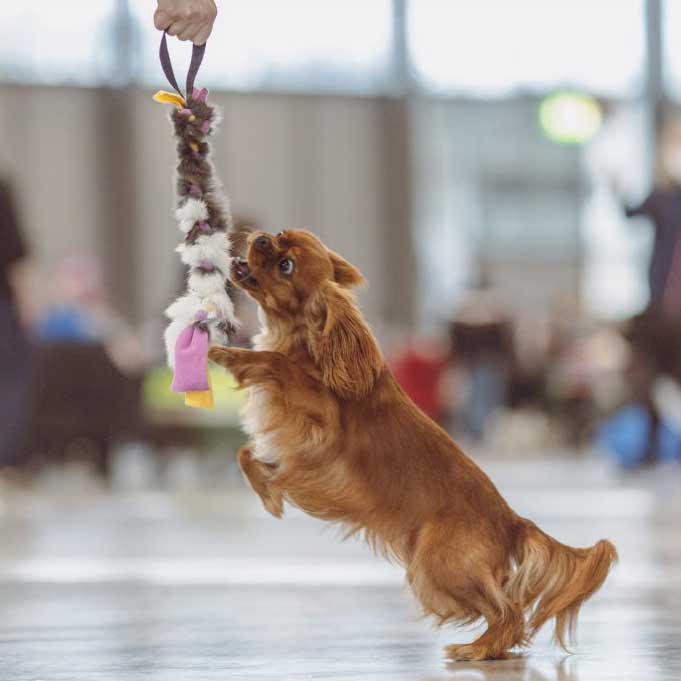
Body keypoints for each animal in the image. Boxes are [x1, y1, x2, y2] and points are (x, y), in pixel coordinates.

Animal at [207, 228, 616, 660]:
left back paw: (476, 649)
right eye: (280, 237)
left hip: (438, 565)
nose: (262, 238)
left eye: (286, 265)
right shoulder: (295, 450)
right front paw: (268, 491)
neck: (307, 342)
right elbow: (246, 453)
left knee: (508, 611)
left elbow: (278, 365)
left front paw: (227, 353)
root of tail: (513, 521)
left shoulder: (323, 420)